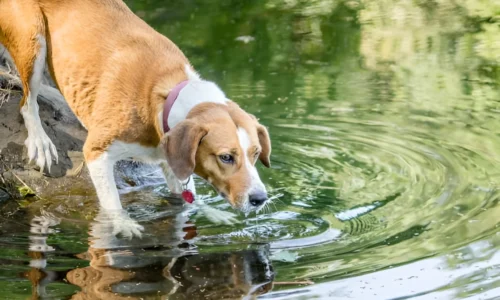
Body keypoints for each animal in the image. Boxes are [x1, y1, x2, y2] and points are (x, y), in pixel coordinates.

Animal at [0, 0, 272, 237]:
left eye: (256, 153)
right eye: (226, 157)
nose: (260, 199)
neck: (163, 97)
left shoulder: (170, 161)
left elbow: (186, 200)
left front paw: (209, 212)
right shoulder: (97, 153)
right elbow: (112, 201)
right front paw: (124, 224)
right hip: (33, 41)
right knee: (27, 102)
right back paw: (40, 140)